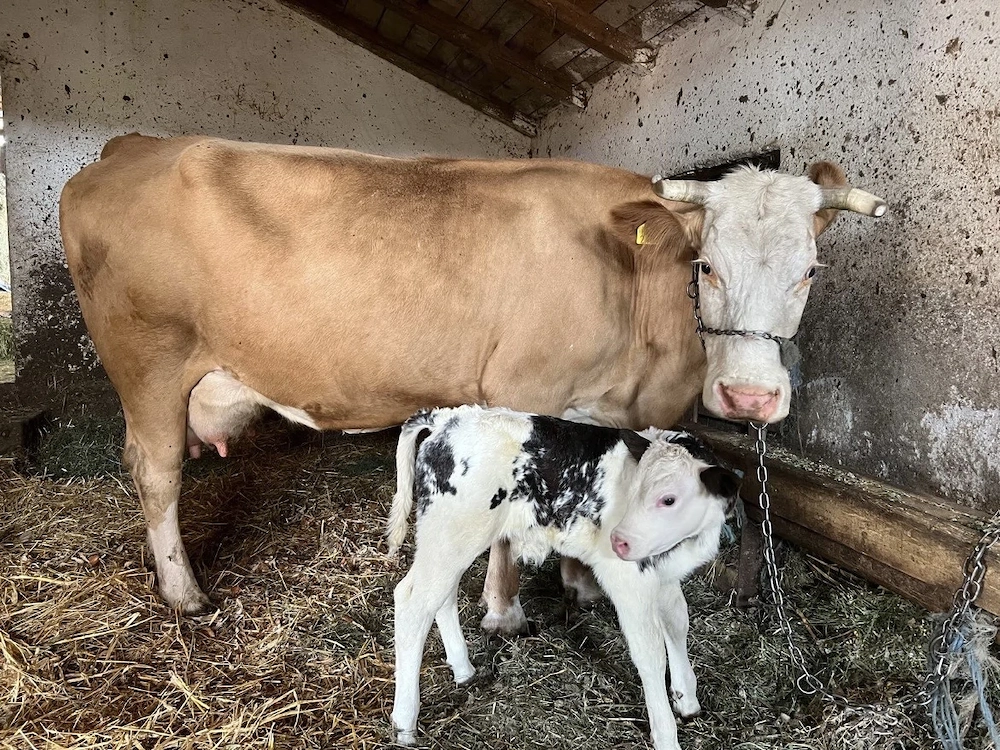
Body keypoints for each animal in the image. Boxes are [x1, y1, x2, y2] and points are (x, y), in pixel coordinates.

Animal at [58, 133, 885, 621]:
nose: (751, 396)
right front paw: (504, 610)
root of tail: (134, 145)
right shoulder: (523, 388)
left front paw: (579, 581)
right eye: (706, 265)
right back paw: (183, 591)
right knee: (156, 472)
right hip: (151, 362)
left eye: (811, 271)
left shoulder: (599, 407)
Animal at [386, 405, 740, 749]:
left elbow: (678, 622)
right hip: (454, 532)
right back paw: (404, 722)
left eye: (669, 499)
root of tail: (446, 417)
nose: (618, 541)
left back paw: (463, 669)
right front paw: (667, 735)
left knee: (441, 596)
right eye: (635, 488)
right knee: (412, 601)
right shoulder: (629, 580)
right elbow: (650, 652)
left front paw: (687, 699)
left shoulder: (664, 574)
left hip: (450, 538)